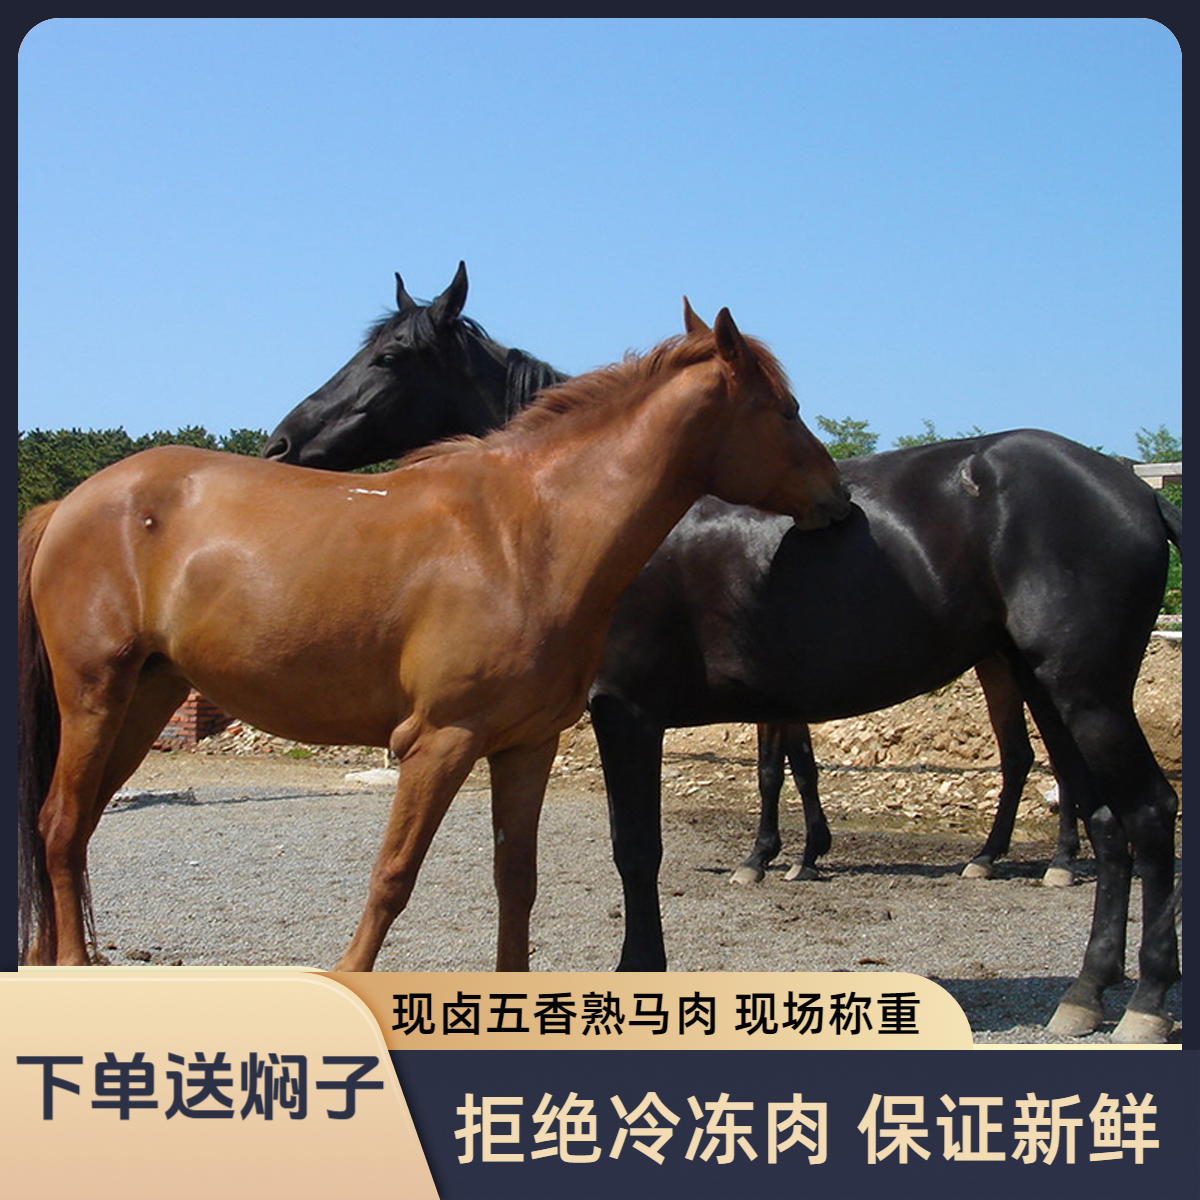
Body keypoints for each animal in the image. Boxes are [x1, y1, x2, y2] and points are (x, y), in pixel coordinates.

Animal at [16, 306, 851, 972]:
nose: (838, 501)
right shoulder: (439, 742)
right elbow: (392, 876)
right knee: (59, 825)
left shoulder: (525, 746)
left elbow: (517, 883)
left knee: (77, 829)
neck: (531, 533)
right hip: (95, 694)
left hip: (144, 697)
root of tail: (71, 503)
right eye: (785, 409)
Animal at [262, 267, 1181, 1042]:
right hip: (1042, 680)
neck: (576, 510)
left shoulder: (626, 713)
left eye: (390, 356)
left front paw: (642, 973)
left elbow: (637, 849)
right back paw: (1085, 993)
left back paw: (1143, 1002)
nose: (280, 445)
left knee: (1145, 812)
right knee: (1104, 821)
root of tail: (1134, 488)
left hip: (1085, 690)